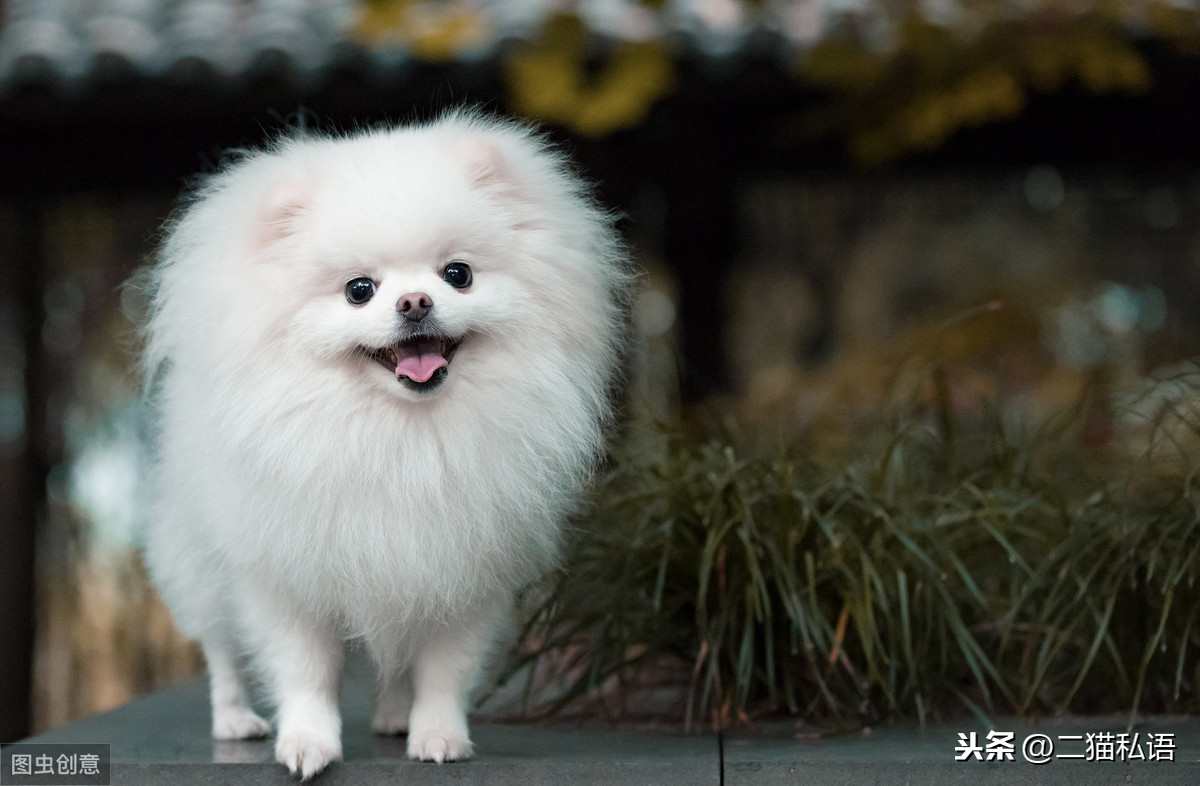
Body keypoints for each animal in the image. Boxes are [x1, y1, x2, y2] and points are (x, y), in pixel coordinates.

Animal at [139, 112, 628, 782]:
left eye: (458, 274)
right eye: (358, 289)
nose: (415, 302)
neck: (399, 434)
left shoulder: (461, 568)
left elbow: (444, 669)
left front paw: (438, 734)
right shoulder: (285, 572)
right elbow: (304, 669)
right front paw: (307, 743)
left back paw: (395, 714)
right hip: (199, 556)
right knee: (220, 648)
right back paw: (235, 719)